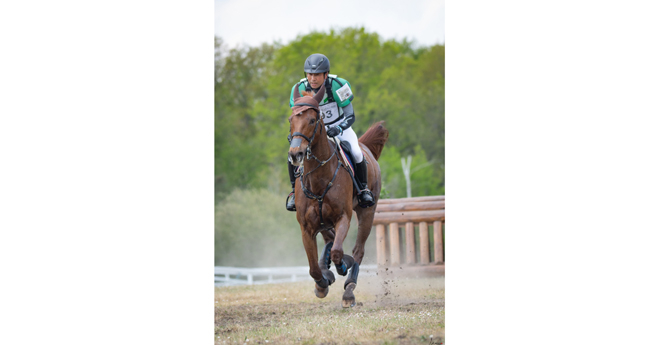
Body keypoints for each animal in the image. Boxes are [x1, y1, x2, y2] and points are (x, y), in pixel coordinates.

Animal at [288, 82, 386, 306]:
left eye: (312, 120)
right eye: (291, 120)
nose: (295, 154)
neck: (319, 178)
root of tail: (365, 147)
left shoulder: (343, 217)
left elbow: (338, 252)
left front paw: (341, 266)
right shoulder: (306, 227)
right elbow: (313, 268)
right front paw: (322, 283)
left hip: (367, 212)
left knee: (357, 250)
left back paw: (349, 289)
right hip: (323, 221)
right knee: (329, 240)